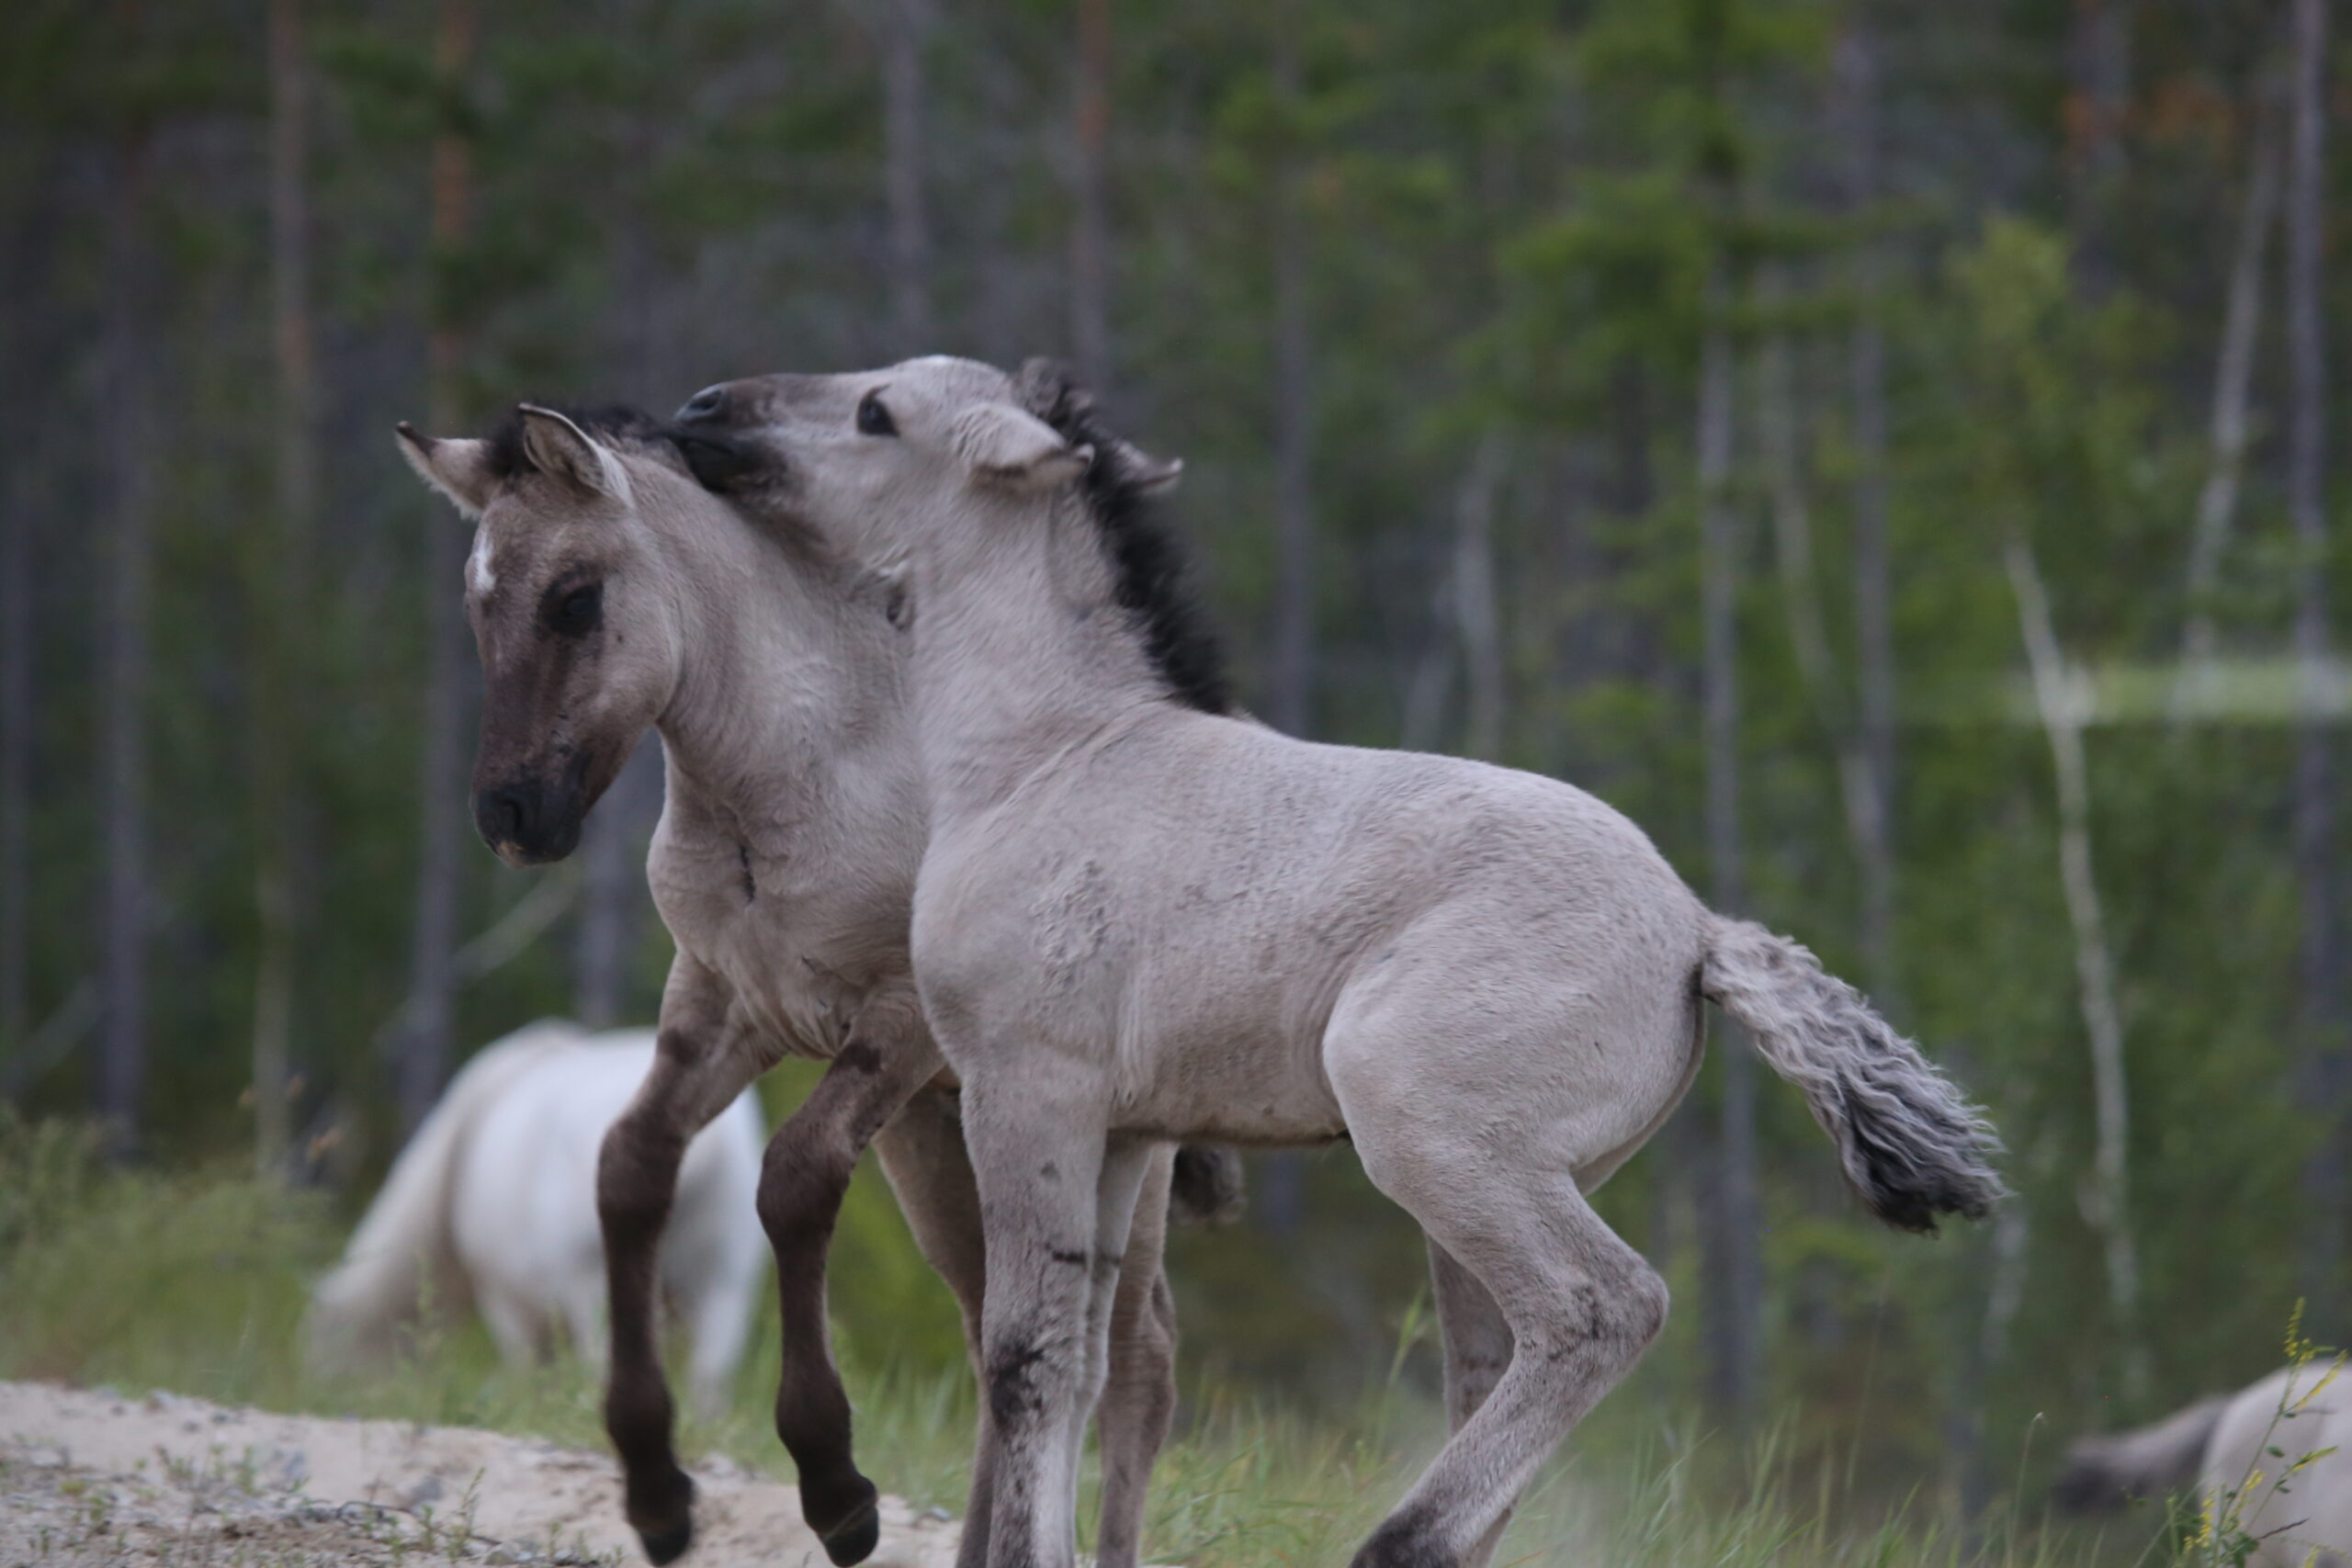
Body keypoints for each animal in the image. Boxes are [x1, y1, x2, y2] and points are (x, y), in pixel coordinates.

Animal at [305, 1024, 762, 1419]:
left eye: (326, 1341)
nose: (325, 1391)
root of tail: (701, 1150)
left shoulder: (501, 1290)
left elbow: (528, 1362)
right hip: (725, 1248)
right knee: (713, 1361)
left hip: (591, 1263)